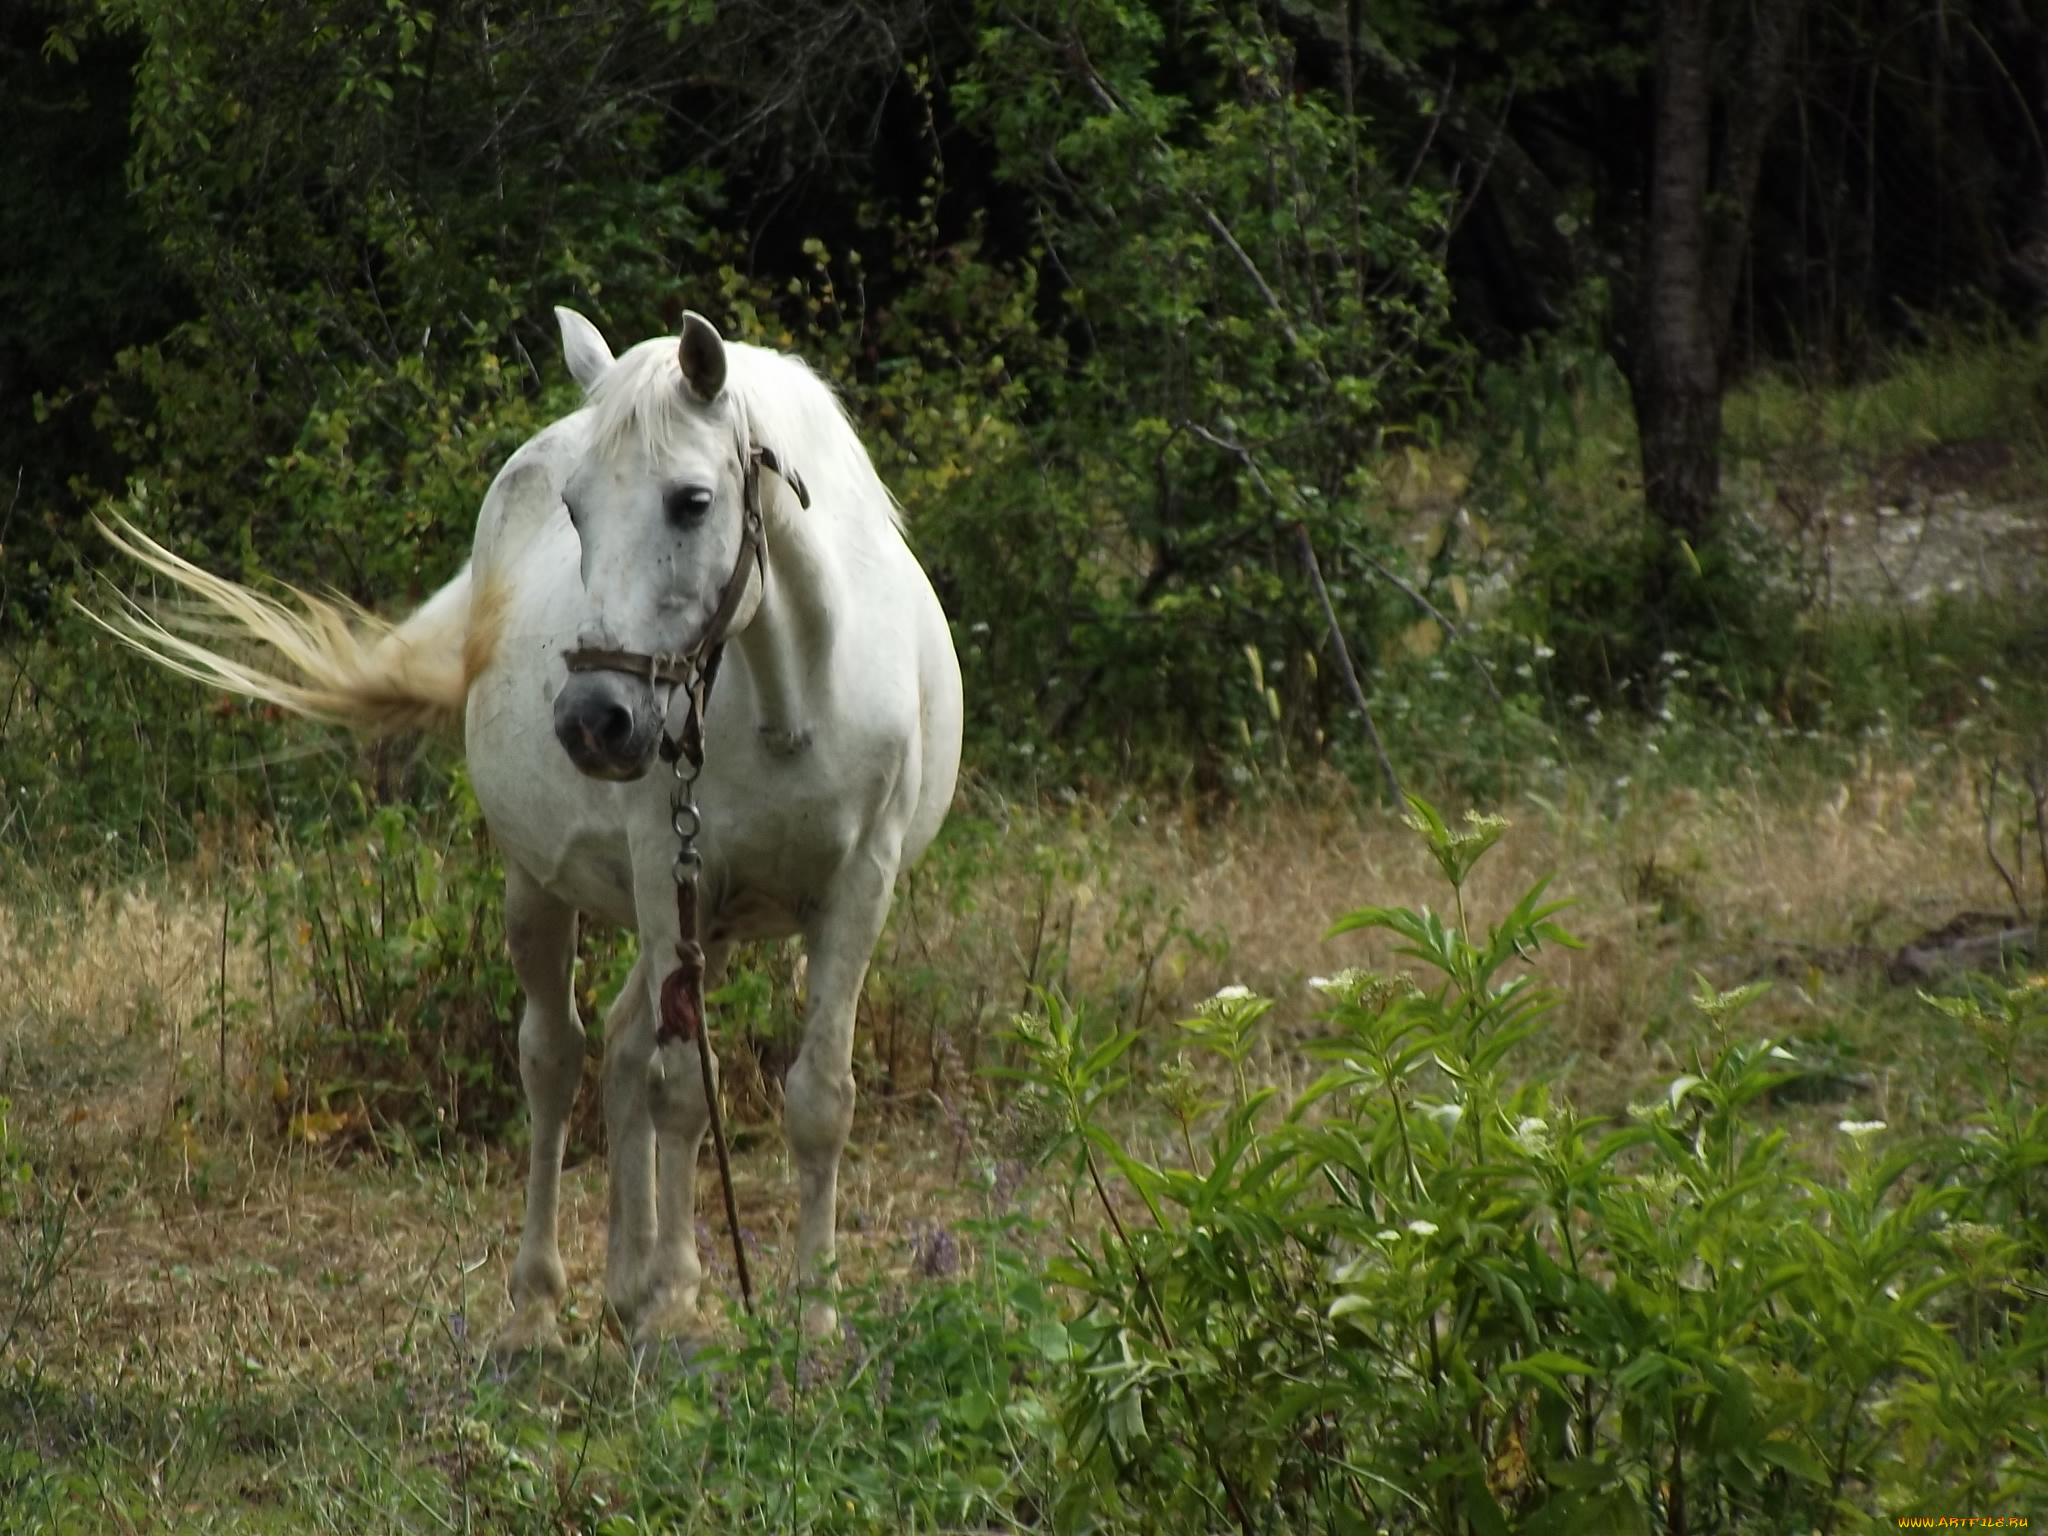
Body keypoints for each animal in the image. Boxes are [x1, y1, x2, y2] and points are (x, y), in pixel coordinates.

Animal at [108, 309, 970, 1343]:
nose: (595, 720)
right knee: (557, 1060)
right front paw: (677, 1307)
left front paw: (811, 1325)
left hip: (699, 920)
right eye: (577, 509)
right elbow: (683, 1091)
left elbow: (819, 1100)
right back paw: (541, 1308)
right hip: (548, 888)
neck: (791, 699)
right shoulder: (668, 872)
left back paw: (629, 1291)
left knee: (626, 1043)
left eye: (692, 502)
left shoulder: (856, 890)